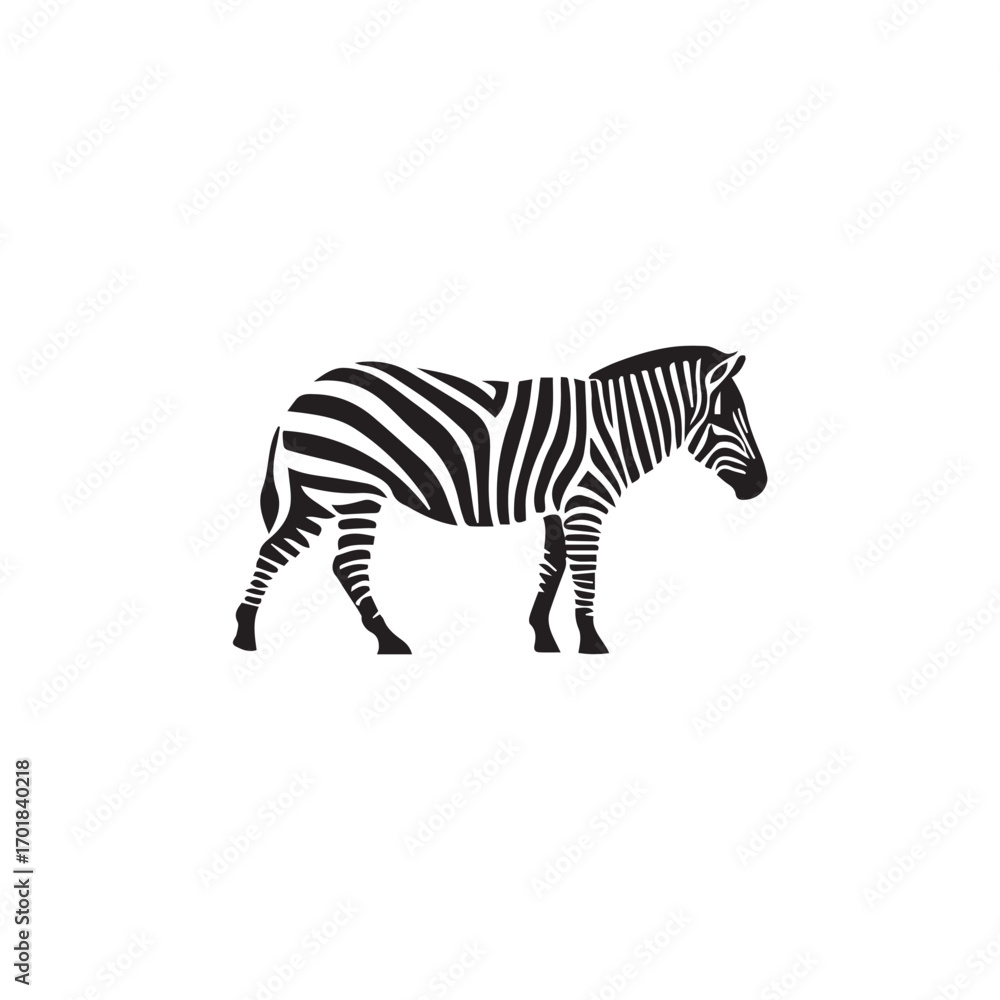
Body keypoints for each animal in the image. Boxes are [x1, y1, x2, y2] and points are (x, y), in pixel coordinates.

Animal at [232, 345, 767, 655]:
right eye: (725, 418)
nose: (760, 485)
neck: (613, 429)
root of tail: (303, 394)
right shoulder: (585, 502)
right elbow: (586, 574)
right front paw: (591, 641)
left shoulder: (557, 508)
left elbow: (553, 566)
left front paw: (543, 637)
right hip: (351, 488)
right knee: (346, 563)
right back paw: (389, 639)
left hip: (318, 491)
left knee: (276, 552)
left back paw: (245, 634)